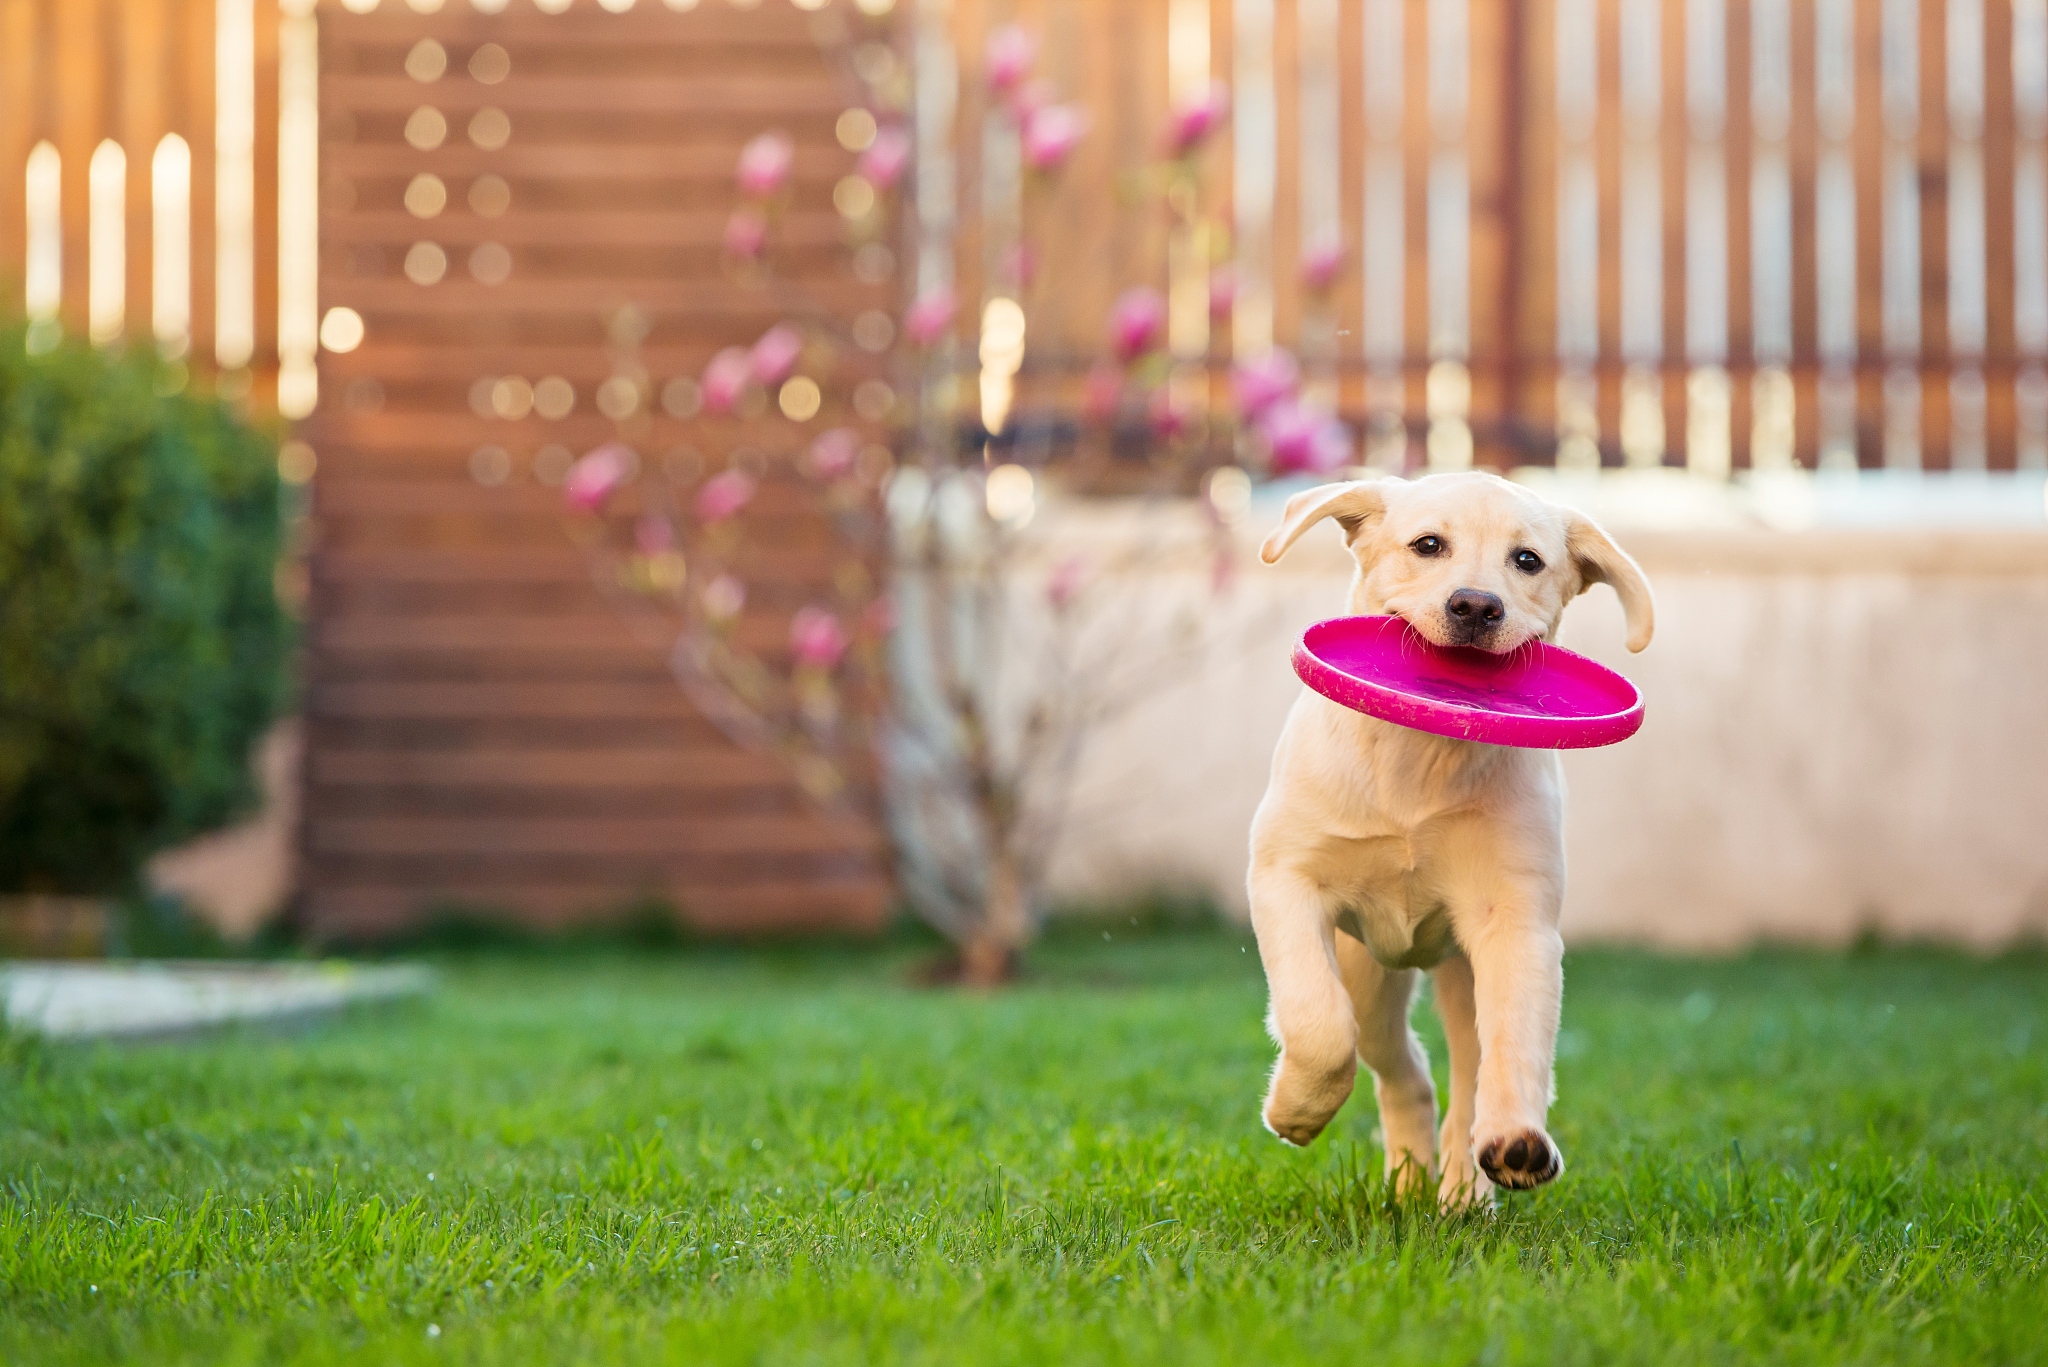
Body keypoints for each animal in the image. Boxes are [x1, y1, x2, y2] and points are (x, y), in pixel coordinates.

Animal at [1236, 471, 1654, 1205]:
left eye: (1527, 561)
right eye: (1428, 545)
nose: (1476, 605)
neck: (1422, 757)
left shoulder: (1516, 923)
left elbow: (1516, 1045)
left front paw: (1516, 1142)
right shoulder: (1286, 879)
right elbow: (1318, 1024)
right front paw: (1296, 1109)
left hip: (1461, 972)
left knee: (1464, 1071)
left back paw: (1464, 1182)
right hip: (1368, 973)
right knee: (1400, 1064)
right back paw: (1408, 1177)